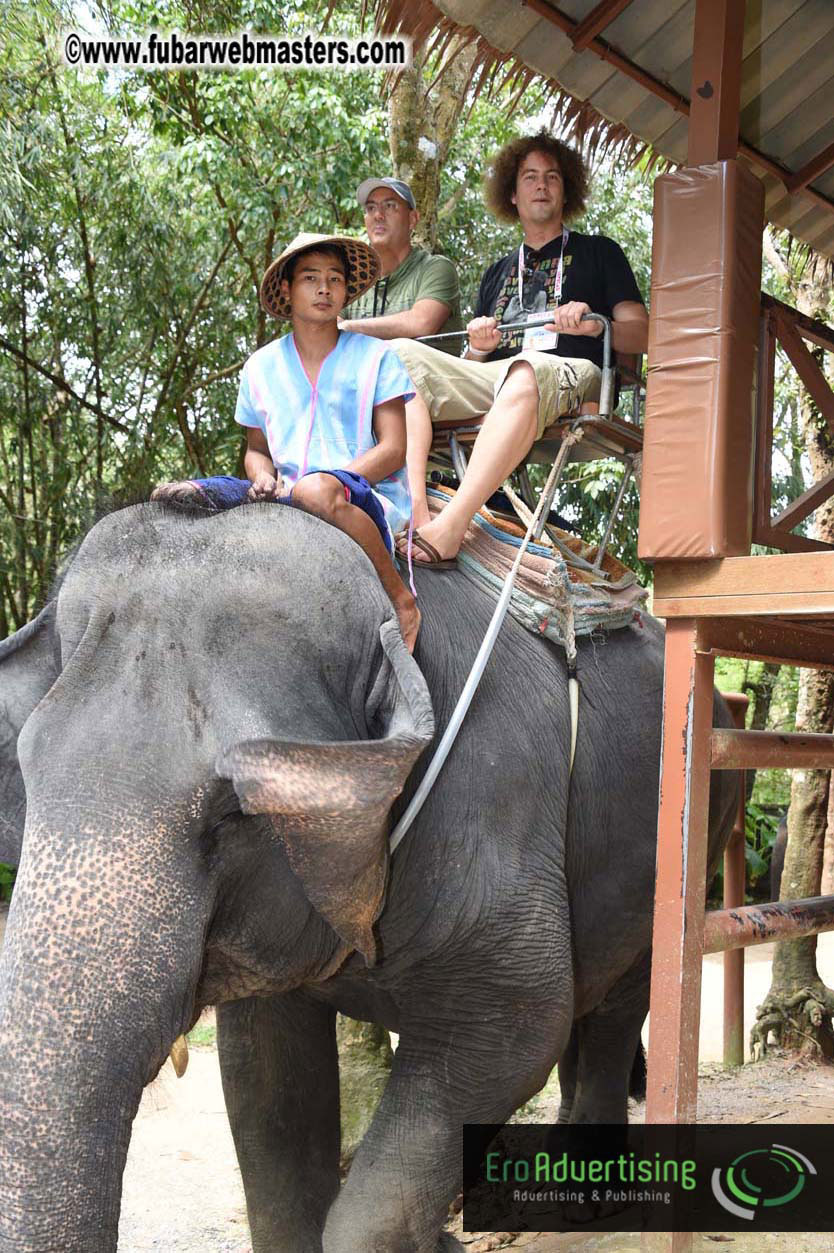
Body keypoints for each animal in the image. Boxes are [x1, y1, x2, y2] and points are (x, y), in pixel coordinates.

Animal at [0, 499, 737, 1253]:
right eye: (26, 769)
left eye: (235, 809)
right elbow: (265, 1082)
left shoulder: (492, 803)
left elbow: (522, 1023)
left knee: (624, 995)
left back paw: (585, 1200)